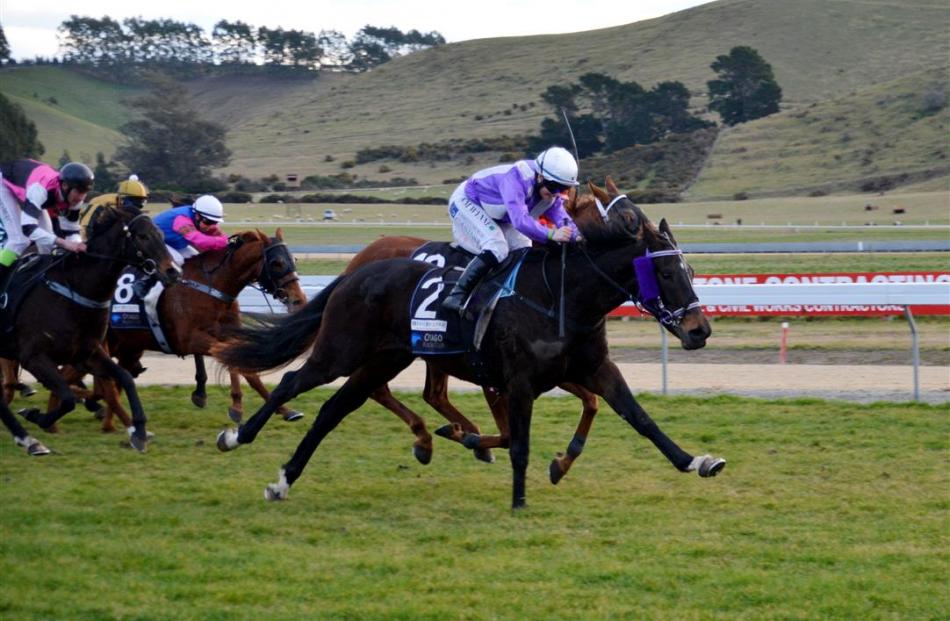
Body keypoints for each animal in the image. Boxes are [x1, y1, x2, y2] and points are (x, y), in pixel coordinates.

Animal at [0, 206, 178, 452]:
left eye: (161, 234)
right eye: (142, 236)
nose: (173, 272)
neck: (74, 289)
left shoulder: (87, 354)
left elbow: (125, 378)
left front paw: (140, 431)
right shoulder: (33, 356)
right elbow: (67, 398)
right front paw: (36, 415)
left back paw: (27, 439)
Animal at [212, 180, 724, 508]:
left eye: (689, 269)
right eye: (665, 271)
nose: (700, 329)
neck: (561, 295)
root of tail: (356, 271)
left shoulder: (592, 370)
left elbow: (637, 417)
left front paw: (696, 460)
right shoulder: (516, 381)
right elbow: (519, 440)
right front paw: (518, 499)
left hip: (384, 359)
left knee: (337, 408)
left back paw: (285, 480)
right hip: (342, 349)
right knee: (294, 382)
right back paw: (238, 435)